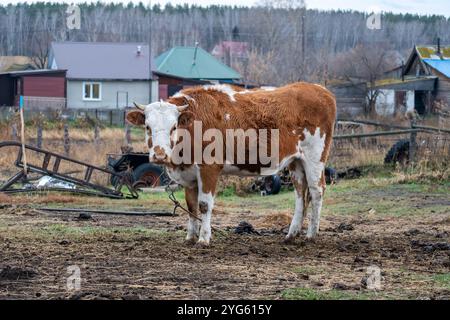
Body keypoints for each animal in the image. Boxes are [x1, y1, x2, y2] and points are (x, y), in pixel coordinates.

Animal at [126, 82, 338, 245]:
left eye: (174, 127)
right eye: (147, 127)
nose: (160, 155)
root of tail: (318, 89)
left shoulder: (209, 168)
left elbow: (204, 205)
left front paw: (203, 239)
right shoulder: (189, 176)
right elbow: (191, 206)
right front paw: (190, 238)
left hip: (315, 157)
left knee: (316, 191)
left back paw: (311, 235)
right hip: (296, 161)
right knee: (301, 194)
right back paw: (291, 235)